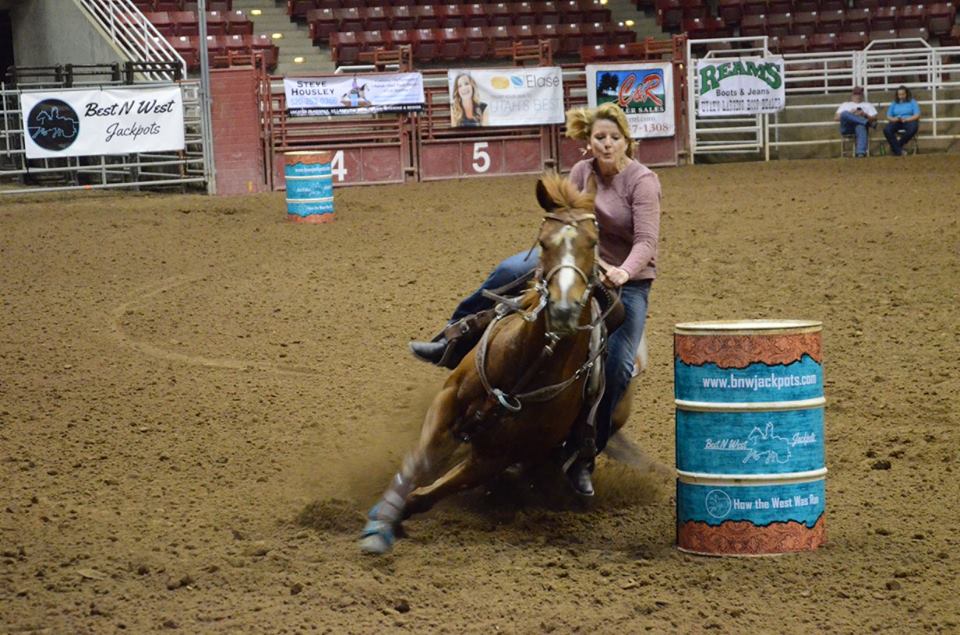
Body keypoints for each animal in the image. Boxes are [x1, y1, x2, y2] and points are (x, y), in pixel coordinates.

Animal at [360, 175, 636, 556]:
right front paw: (381, 517)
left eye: (593, 242)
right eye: (544, 242)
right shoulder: (447, 401)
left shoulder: (497, 455)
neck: (527, 366)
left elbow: (424, 495)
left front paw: (390, 519)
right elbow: (417, 462)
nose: (564, 310)